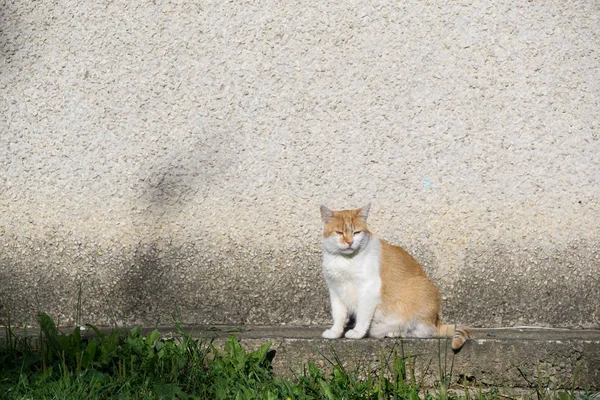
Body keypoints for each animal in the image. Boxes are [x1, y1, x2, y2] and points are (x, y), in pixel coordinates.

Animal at [322, 205, 472, 348]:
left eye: (356, 232)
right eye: (339, 232)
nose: (349, 242)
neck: (345, 260)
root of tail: (435, 320)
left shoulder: (370, 289)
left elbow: (362, 314)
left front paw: (357, 332)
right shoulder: (335, 290)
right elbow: (338, 315)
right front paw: (335, 332)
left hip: (421, 289)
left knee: (423, 331)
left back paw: (396, 333)